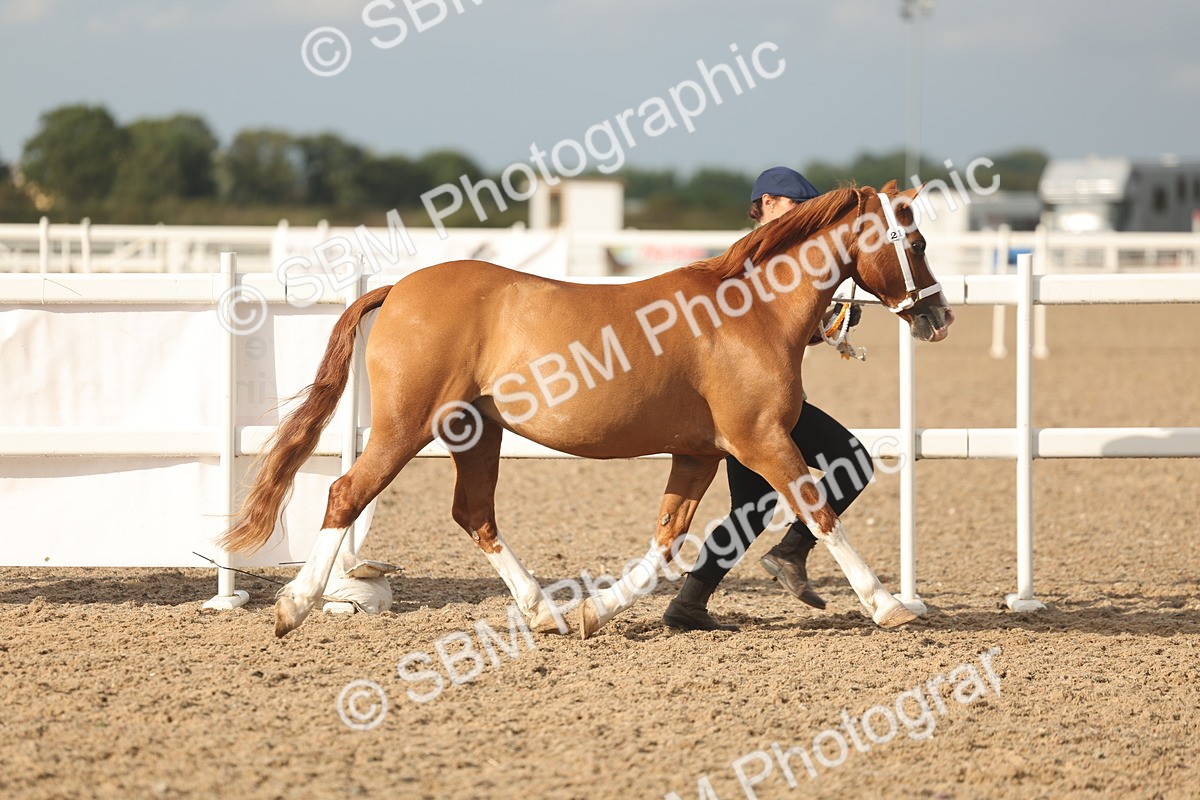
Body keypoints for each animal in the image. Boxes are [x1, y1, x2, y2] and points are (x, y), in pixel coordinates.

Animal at [220, 180, 954, 639]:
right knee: (347, 493)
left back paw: (544, 612)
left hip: (475, 432)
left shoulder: (700, 451)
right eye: (915, 243)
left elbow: (666, 542)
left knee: (474, 515)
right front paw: (890, 607)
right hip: (407, 427)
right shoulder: (761, 441)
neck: (752, 313)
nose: (939, 318)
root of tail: (400, 288)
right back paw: (294, 607)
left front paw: (593, 614)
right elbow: (821, 510)